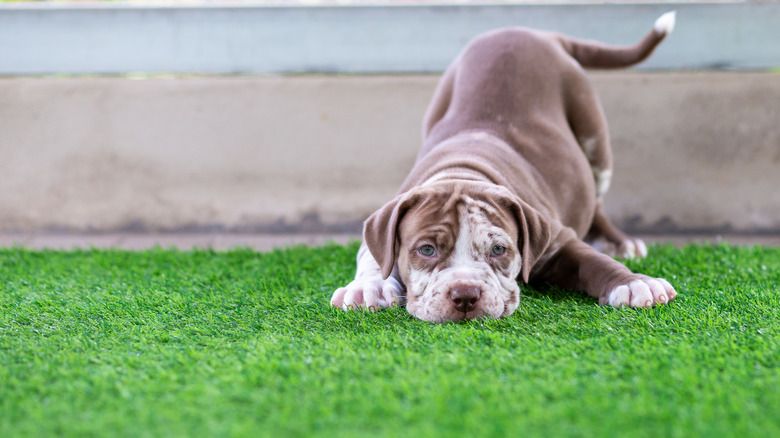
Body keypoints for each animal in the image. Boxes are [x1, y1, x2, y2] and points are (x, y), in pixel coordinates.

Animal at [332, 12, 680, 324]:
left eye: (499, 249)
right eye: (426, 250)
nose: (465, 295)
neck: (463, 171)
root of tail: (531, 32)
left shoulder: (558, 240)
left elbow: (592, 261)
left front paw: (635, 283)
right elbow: (373, 257)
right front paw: (368, 287)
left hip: (593, 134)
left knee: (596, 199)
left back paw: (620, 243)